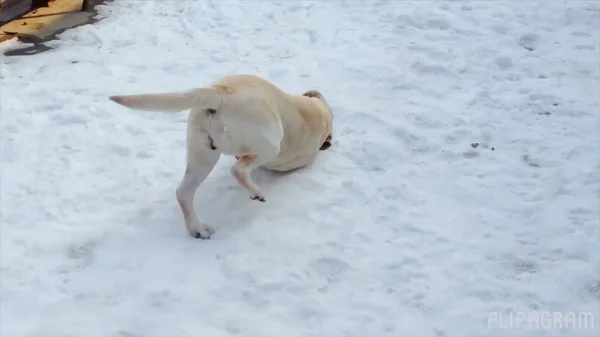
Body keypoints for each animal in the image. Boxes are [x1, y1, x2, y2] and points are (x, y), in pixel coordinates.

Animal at [108, 73, 332, 239]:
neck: (318, 113)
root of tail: (219, 93)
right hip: (270, 143)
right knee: (239, 170)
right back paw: (255, 192)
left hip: (201, 153)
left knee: (183, 193)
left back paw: (198, 229)